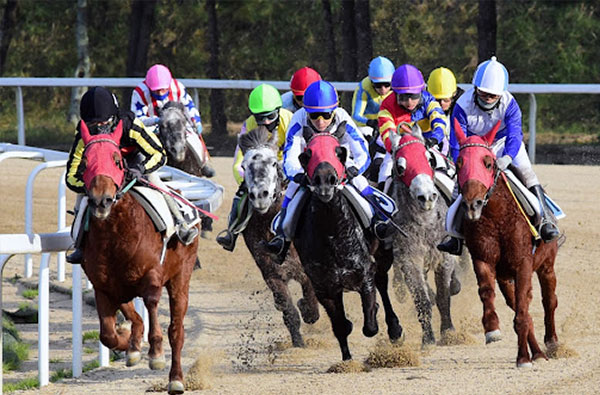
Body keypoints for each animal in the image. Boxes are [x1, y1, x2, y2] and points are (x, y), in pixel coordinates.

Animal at [77, 122, 199, 394]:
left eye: (116, 159)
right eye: (85, 161)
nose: (101, 200)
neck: (114, 235)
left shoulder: (152, 275)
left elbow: (152, 303)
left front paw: (155, 353)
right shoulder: (103, 285)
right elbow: (107, 334)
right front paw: (128, 345)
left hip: (181, 277)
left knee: (177, 330)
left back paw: (176, 378)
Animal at [454, 120, 556, 368]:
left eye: (489, 163)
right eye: (459, 163)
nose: (472, 205)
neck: (497, 216)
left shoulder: (523, 265)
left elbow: (524, 311)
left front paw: (523, 358)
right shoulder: (483, 259)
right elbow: (487, 292)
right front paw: (492, 329)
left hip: (546, 265)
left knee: (549, 301)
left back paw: (551, 343)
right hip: (505, 277)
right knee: (521, 306)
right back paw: (537, 352)